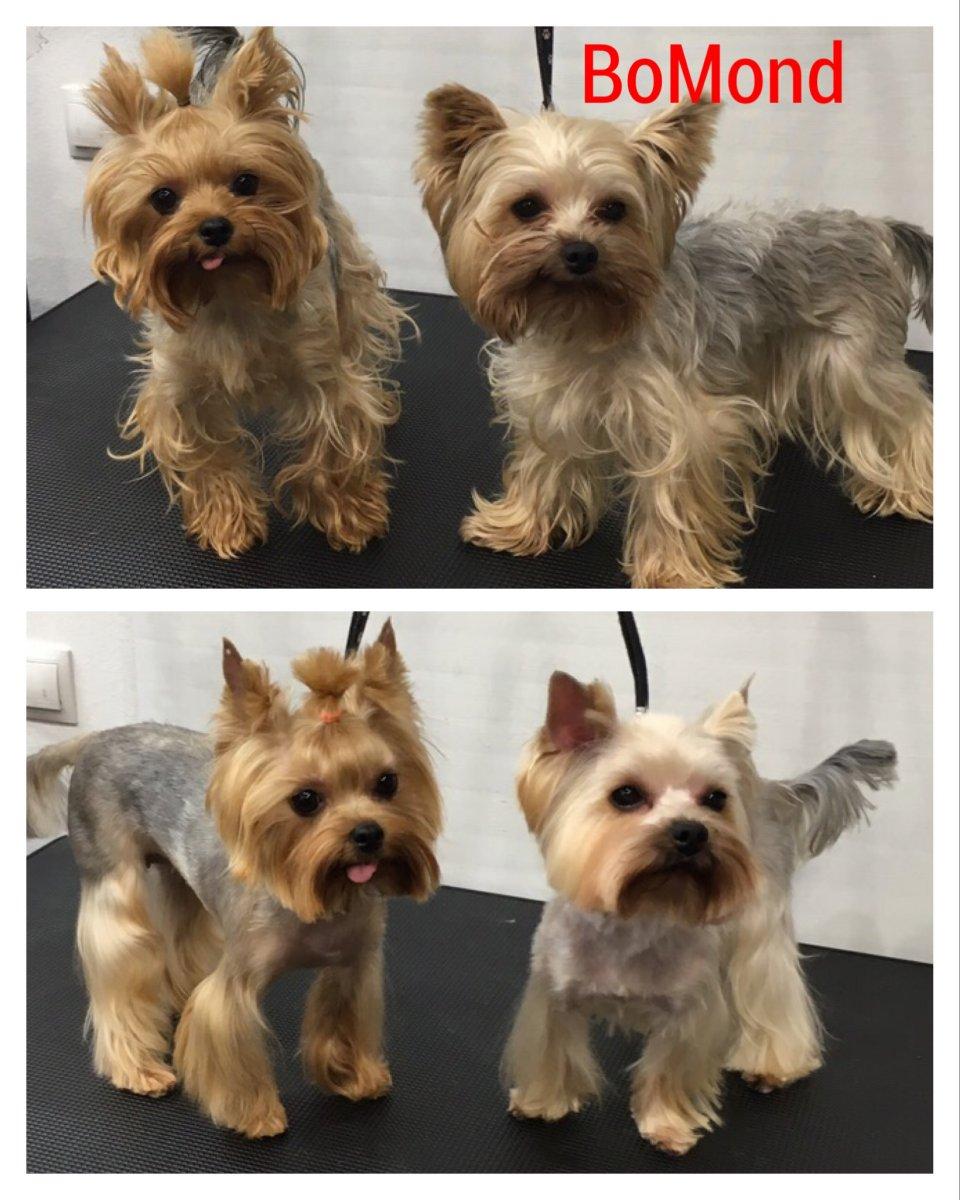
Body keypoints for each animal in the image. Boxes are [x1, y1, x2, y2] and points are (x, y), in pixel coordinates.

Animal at [26, 622, 442, 1137]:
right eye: (305, 799)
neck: (321, 893)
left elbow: (344, 1018)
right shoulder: (239, 978)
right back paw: (138, 1067)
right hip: (111, 879)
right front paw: (256, 1114)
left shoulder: (353, 963)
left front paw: (356, 1077)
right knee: (119, 968)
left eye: (387, 782)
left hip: (179, 877)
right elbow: (229, 1033)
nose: (368, 833)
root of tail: (92, 740)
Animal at [85, 28, 407, 558]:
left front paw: (350, 514)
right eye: (163, 198)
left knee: (361, 336)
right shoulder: (182, 392)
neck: (229, 290)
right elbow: (208, 456)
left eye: (245, 182)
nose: (214, 227)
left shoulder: (321, 372)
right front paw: (227, 522)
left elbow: (334, 438)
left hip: (349, 277)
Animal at [415, 87, 933, 587]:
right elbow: (543, 466)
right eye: (526, 207)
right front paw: (517, 525)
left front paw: (672, 572)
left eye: (614, 209)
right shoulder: (552, 404)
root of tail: (877, 229)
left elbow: (674, 493)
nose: (581, 251)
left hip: (854, 360)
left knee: (908, 411)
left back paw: (908, 488)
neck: (583, 323)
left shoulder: (683, 425)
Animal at [503, 669, 896, 1153]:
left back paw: (774, 1063)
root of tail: (771, 791)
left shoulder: (688, 1011)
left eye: (714, 798)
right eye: (626, 795)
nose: (691, 831)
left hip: (758, 931)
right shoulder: (553, 992)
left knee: (770, 990)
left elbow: (669, 1069)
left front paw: (666, 1125)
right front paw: (542, 1102)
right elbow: (551, 1050)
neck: (641, 912)